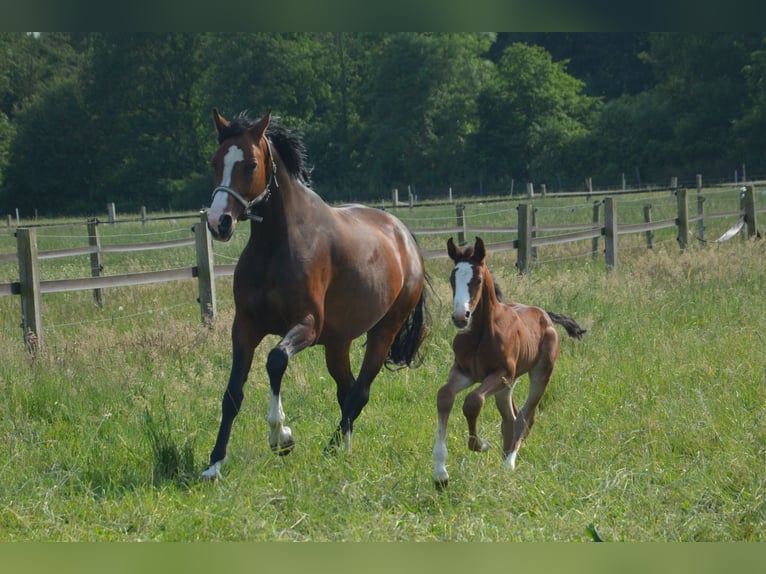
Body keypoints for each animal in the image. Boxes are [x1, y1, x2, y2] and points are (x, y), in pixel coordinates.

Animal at [204, 110, 428, 480]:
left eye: (251, 164)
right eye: (215, 161)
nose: (218, 222)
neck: (275, 246)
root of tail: (404, 236)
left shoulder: (307, 325)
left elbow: (275, 361)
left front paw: (281, 437)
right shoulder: (245, 326)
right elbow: (232, 393)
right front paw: (214, 463)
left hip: (384, 331)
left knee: (360, 391)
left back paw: (332, 448)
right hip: (338, 343)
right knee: (346, 389)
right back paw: (345, 447)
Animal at [432, 237, 588, 490]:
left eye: (477, 280)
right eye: (452, 278)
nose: (460, 317)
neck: (480, 334)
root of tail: (545, 315)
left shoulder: (501, 372)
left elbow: (473, 401)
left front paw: (481, 445)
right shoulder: (465, 372)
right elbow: (445, 396)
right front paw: (440, 474)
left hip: (540, 373)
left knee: (525, 417)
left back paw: (509, 464)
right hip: (507, 385)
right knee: (510, 417)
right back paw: (504, 457)